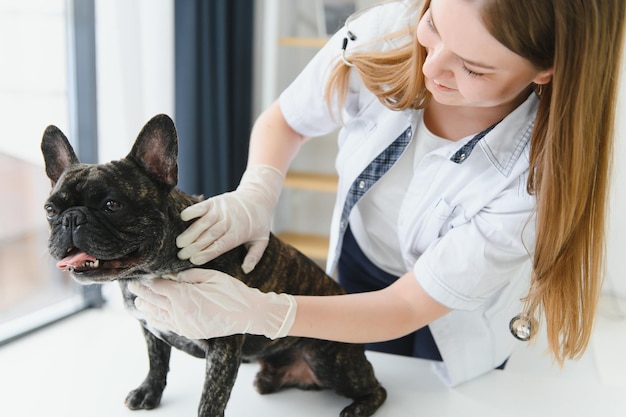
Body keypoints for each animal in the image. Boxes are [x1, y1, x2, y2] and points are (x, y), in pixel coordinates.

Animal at [40, 112, 386, 414]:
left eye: (112, 205)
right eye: (50, 210)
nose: (72, 219)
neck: (153, 270)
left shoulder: (223, 347)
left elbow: (212, 397)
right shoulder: (150, 327)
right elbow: (157, 362)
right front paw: (149, 391)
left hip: (327, 359)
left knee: (377, 389)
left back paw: (357, 408)